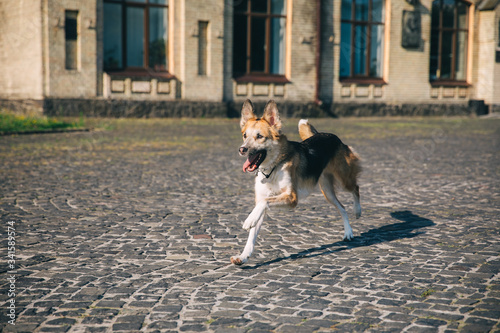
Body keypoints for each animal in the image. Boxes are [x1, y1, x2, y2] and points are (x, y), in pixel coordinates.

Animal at [232, 98, 362, 264]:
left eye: (259, 136)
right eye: (244, 135)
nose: (242, 149)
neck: (273, 168)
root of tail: (327, 135)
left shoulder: (292, 198)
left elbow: (264, 203)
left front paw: (248, 220)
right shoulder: (262, 200)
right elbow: (253, 232)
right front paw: (243, 256)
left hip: (344, 179)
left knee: (355, 189)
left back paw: (357, 211)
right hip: (327, 191)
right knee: (342, 208)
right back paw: (348, 233)